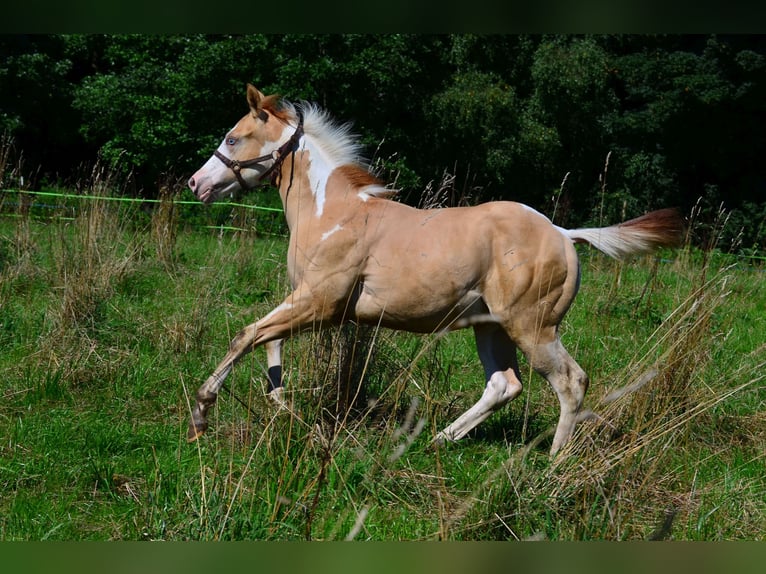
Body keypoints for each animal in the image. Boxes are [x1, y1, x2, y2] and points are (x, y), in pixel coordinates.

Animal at [187, 84, 683, 455]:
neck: (332, 212)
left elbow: (247, 335)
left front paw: (202, 414)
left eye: (232, 138)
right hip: (491, 326)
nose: (196, 183)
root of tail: (563, 233)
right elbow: (268, 343)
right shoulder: (308, 301)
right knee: (504, 385)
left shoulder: (320, 303)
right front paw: (282, 405)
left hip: (533, 327)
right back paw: (438, 439)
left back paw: (551, 465)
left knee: (570, 382)